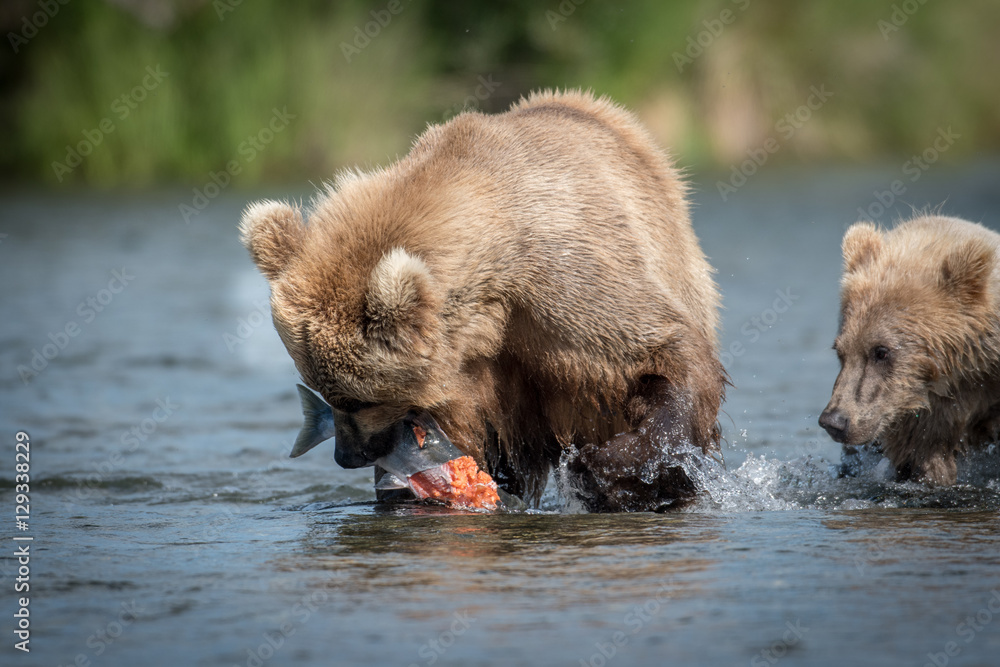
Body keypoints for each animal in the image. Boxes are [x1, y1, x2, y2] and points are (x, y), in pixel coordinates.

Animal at [239, 90, 726, 511]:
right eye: (325, 389)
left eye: (357, 399)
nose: (347, 454)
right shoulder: (463, 379)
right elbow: (471, 441)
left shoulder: (568, 288)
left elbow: (662, 355)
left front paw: (609, 469)